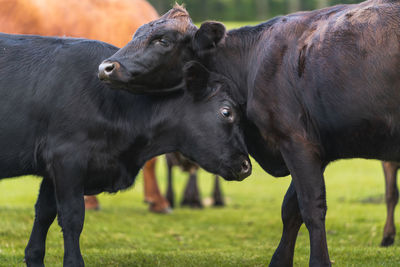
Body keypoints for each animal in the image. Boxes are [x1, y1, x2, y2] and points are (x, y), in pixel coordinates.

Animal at [0, 33, 250, 267]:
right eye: (226, 112)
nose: (246, 165)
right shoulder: (67, 159)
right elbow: (72, 216)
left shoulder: (52, 170)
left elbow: (44, 213)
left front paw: (34, 256)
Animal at [98, 1, 400, 266]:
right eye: (136, 33)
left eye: (162, 40)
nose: (106, 67)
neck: (251, 65)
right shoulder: (314, 148)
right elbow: (290, 210)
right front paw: (280, 261)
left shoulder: (296, 142)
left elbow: (311, 207)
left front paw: (319, 261)